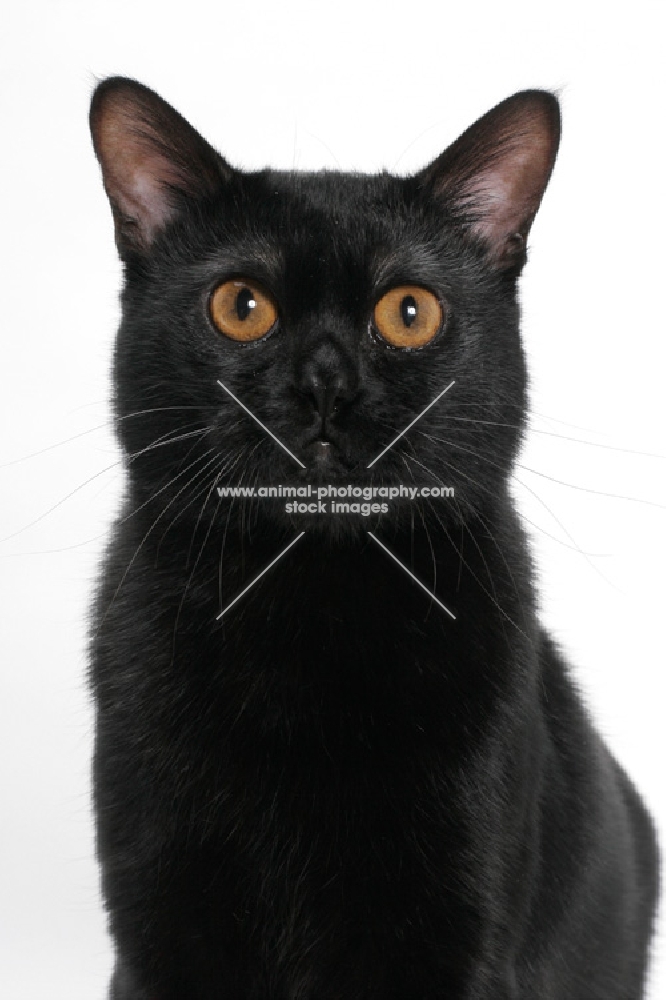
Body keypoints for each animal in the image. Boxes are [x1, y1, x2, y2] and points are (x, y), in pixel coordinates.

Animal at [89, 80, 660, 1000]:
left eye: (409, 313)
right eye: (241, 307)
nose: (326, 383)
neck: (308, 618)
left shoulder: (453, 926)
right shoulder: (158, 920)